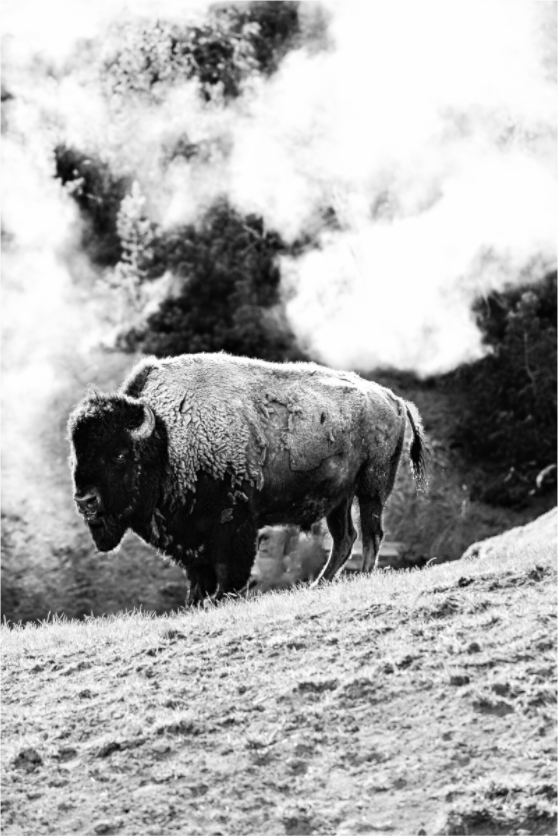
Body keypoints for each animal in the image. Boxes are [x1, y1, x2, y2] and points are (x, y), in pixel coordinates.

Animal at [68, 353, 427, 605]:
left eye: (119, 455)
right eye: (77, 456)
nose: (85, 501)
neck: (167, 438)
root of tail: (394, 399)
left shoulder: (233, 521)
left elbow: (230, 568)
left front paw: (220, 598)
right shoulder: (189, 535)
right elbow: (198, 573)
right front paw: (195, 601)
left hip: (372, 488)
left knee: (371, 533)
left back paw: (363, 575)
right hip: (338, 499)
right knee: (345, 538)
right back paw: (319, 584)